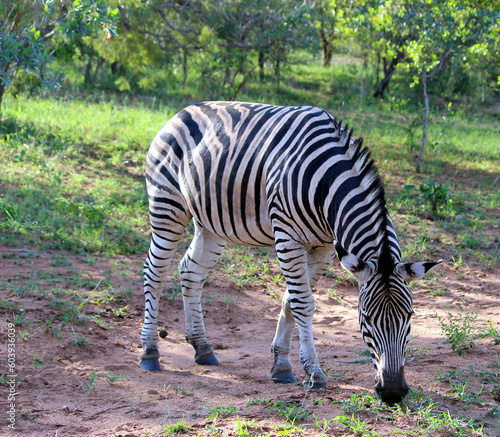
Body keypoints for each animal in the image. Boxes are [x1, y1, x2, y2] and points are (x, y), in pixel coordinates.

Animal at [141, 101, 442, 402]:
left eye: (410, 316)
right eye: (366, 316)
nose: (393, 391)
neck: (328, 183)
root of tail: (183, 111)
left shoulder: (324, 246)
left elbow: (290, 299)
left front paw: (282, 366)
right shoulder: (288, 237)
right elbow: (303, 303)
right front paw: (314, 373)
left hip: (211, 224)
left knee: (189, 272)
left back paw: (202, 347)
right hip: (167, 206)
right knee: (154, 273)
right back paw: (150, 352)